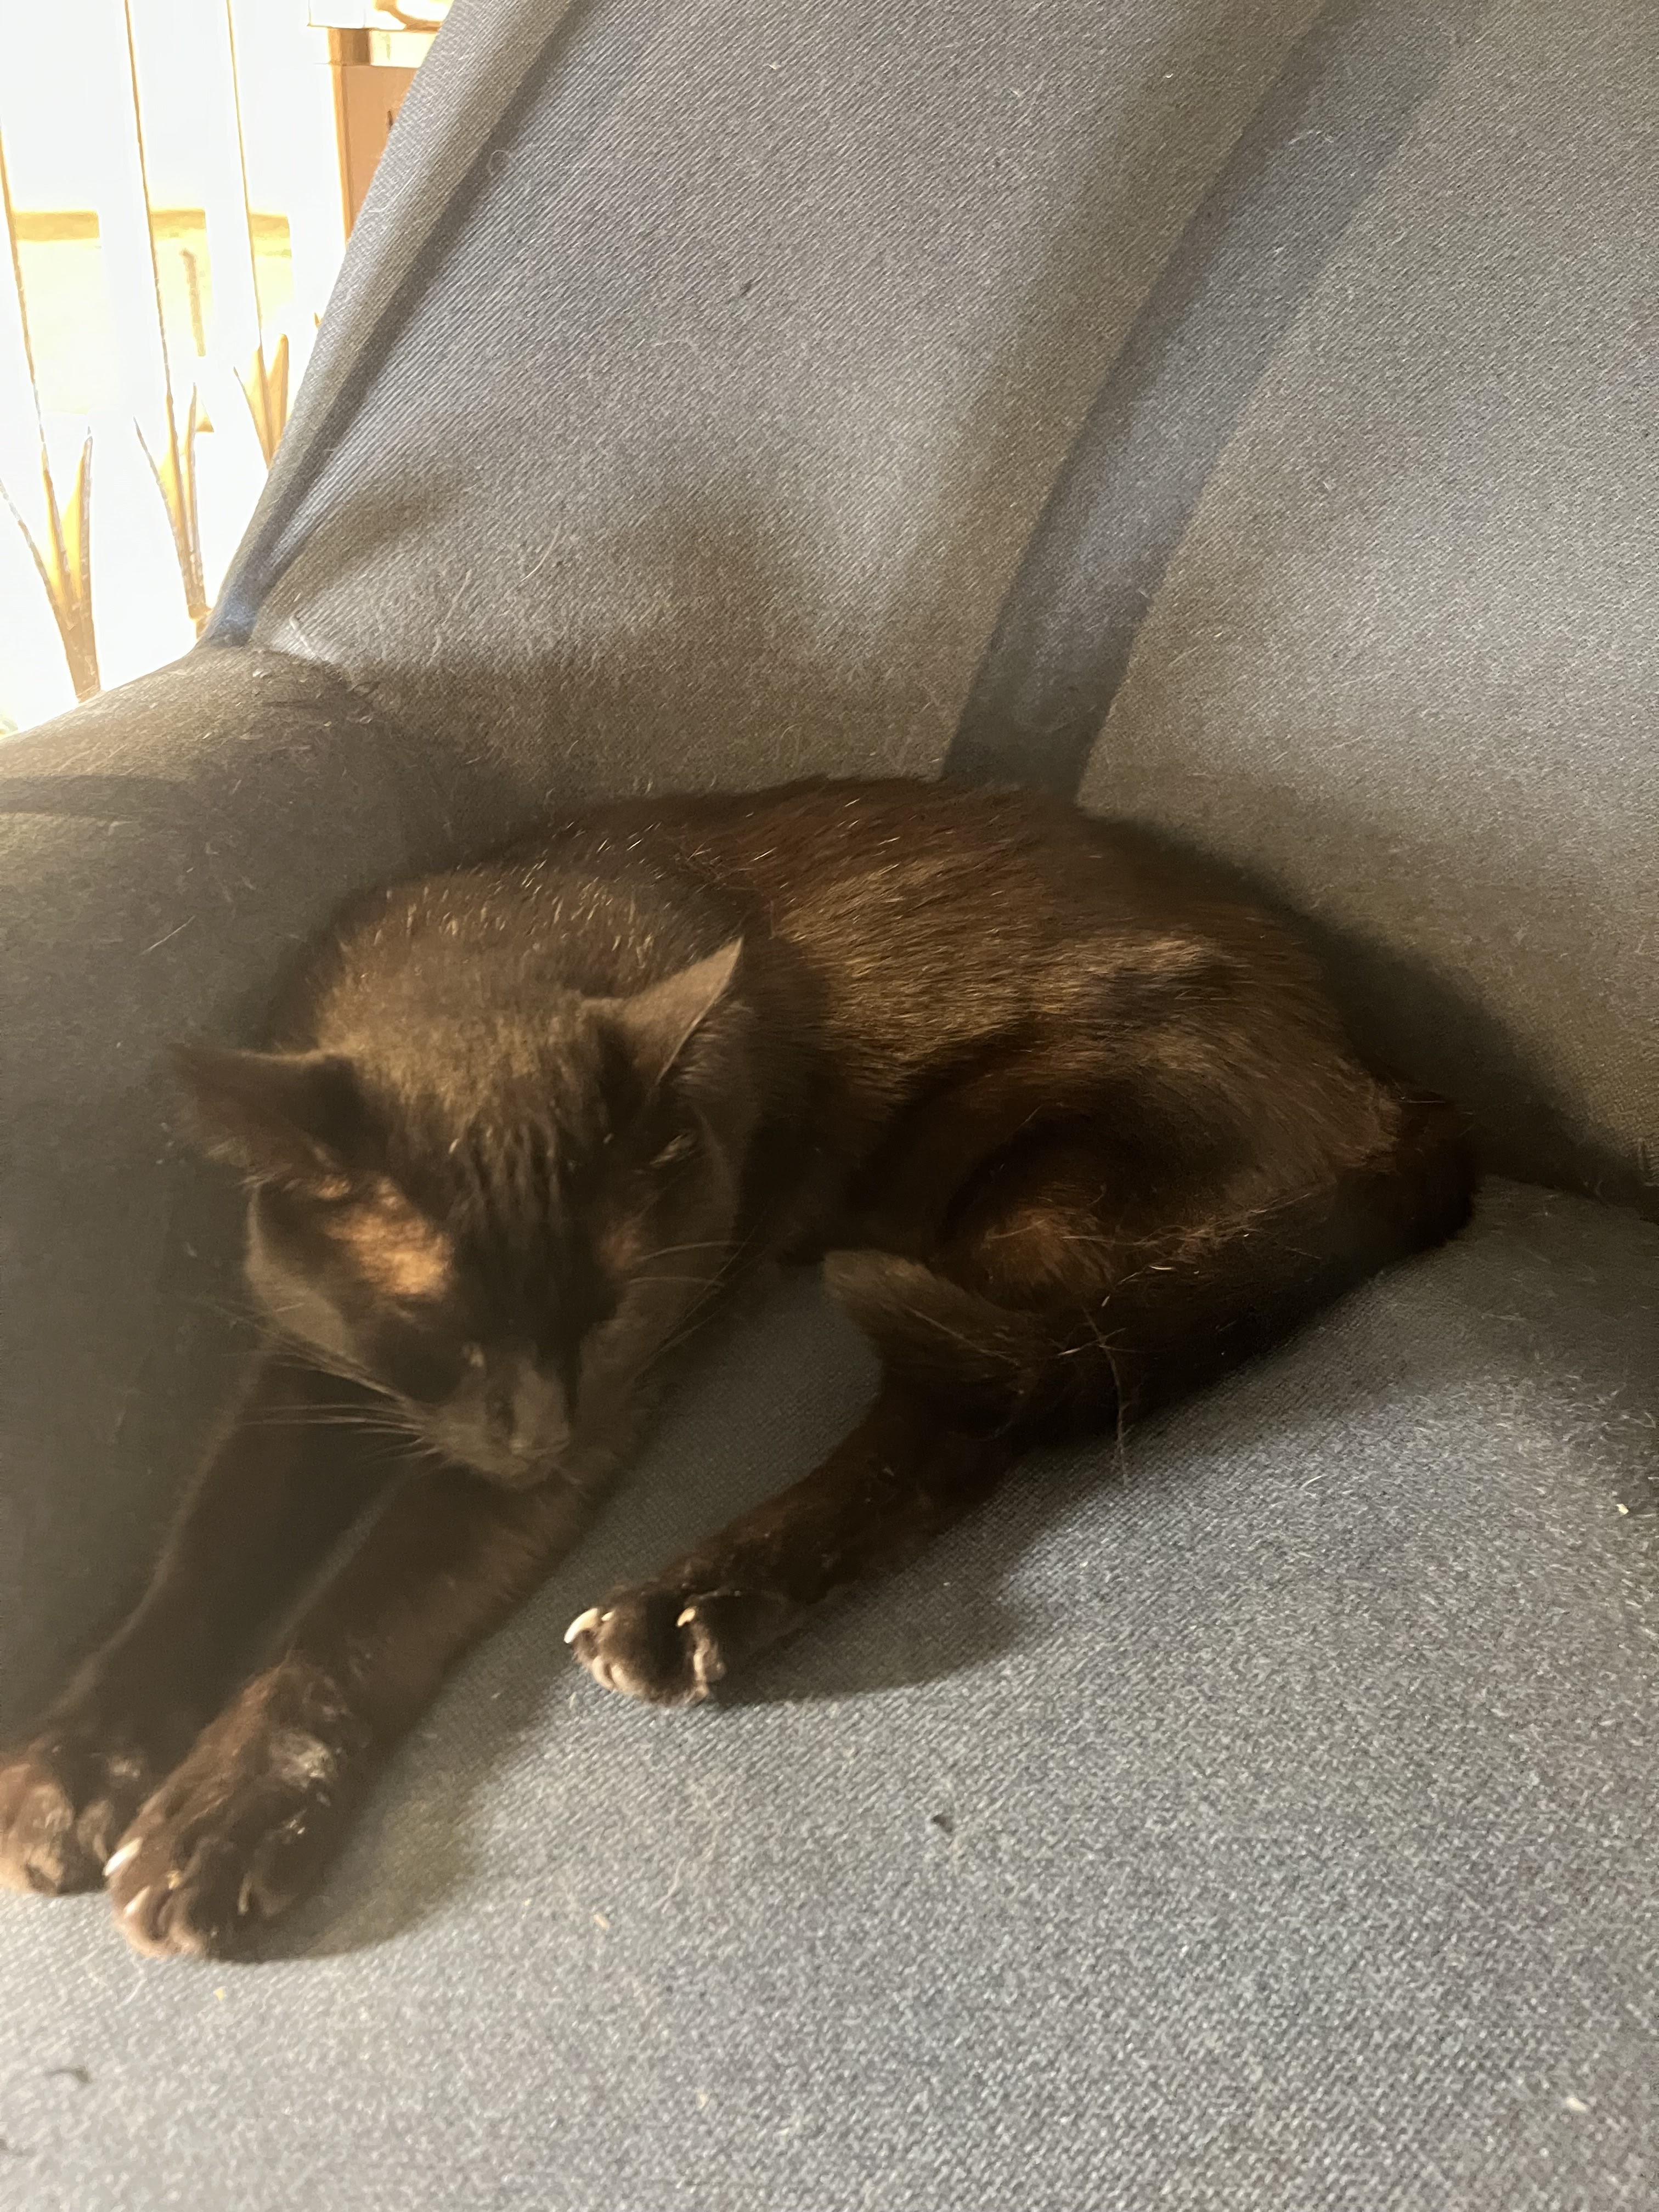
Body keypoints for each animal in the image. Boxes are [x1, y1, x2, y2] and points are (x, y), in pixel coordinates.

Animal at [0, 777, 1473, 1956]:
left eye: (608, 1318)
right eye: (445, 1333)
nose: (535, 1433)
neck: (489, 953)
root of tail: (1383, 1077)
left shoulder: (590, 1422)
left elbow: (361, 1610)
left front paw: (227, 1818)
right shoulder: (305, 1368)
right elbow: (206, 1554)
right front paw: (81, 1767)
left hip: (1019, 1188)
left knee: (949, 1438)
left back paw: (688, 1609)